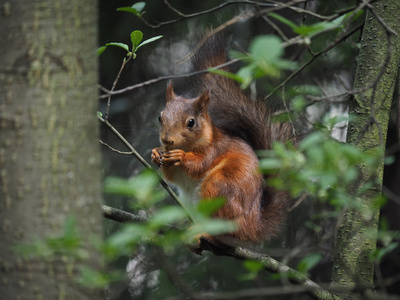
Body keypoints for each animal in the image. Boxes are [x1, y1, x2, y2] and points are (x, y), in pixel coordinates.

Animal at [151, 34, 294, 254]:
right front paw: (155, 153)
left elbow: (200, 164)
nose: (167, 140)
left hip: (221, 187)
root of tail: (252, 227)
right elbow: (171, 177)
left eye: (191, 122)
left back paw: (206, 234)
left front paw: (180, 157)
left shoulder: (215, 148)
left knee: (225, 234)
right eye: (160, 117)